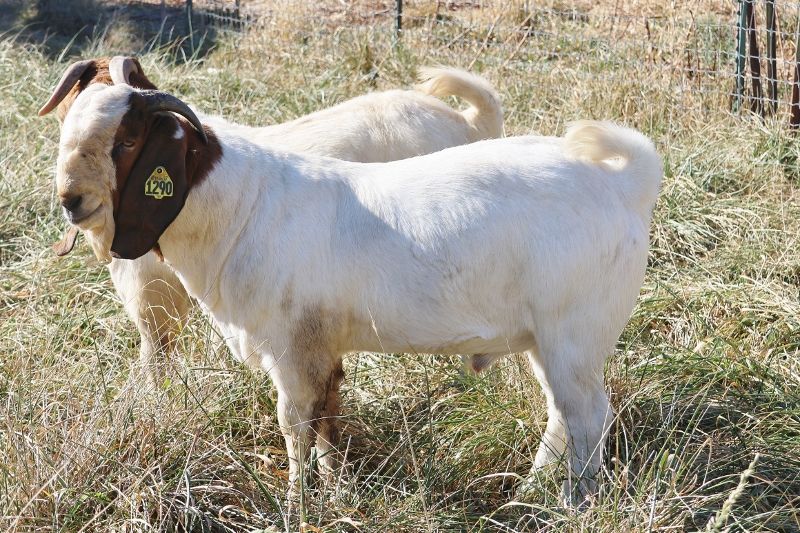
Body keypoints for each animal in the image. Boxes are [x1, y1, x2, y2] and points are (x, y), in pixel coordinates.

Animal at [39, 56, 500, 380]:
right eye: (66, 123)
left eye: (128, 141)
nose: (72, 200)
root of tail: (470, 124)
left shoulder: (153, 296)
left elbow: (156, 356)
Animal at [51, 85, 664, 504]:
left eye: (128, 140)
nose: (71, 200)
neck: (242, 205)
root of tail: (625, 182)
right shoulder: (323, 349)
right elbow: (326, 418)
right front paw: (334, 488)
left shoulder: (292, 350)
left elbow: (295, 425)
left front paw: (295, 502)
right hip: (545, 339)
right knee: (563, 414)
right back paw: (530, 491)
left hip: (573, 334)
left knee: (588, 415)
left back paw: (572, 501)